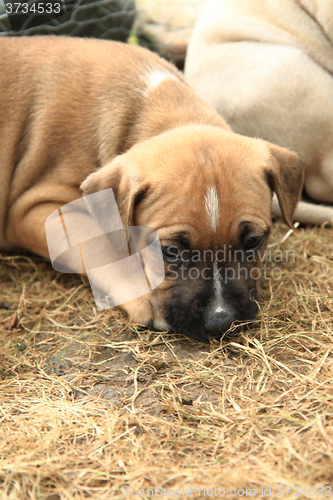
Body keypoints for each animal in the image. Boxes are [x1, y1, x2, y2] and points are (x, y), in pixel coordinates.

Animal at [0, 35, 304, 340]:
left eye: (253, 241)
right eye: (168, 251)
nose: (221, 321)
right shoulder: (37, 210)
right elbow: (100, 243)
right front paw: (143, 295)